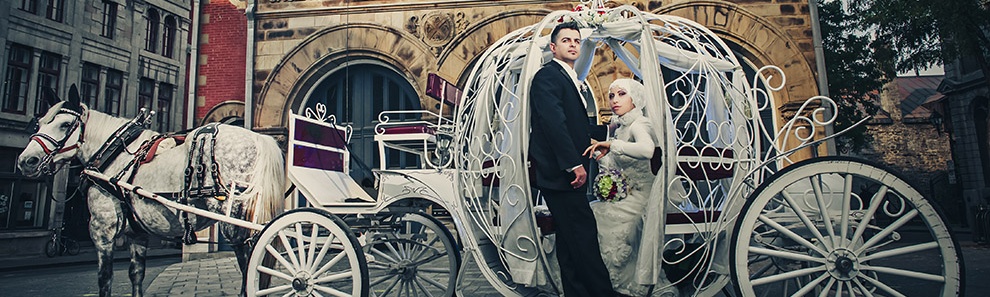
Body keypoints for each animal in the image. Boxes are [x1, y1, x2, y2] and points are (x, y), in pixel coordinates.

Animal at [17, 84, 284, 294]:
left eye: (65, 125)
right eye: (39, 123)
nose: (26, 161)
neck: (114, 154)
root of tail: (259, 138)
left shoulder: (102, 230)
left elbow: (105, 279)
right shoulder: (138, 233)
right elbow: (136, 275)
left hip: (236, 218)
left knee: (250, 263)